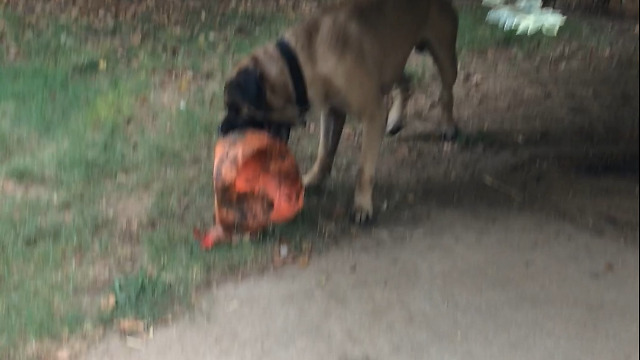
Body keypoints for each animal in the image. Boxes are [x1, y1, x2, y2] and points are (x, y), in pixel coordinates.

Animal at [220, 0, 460, 224]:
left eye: (235, 107)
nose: (221, 129)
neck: (306, 60)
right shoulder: (332, 111)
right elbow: (325, 151)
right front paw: (314, 179)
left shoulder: (372, 112)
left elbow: (363, 169)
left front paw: (362, 206)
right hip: (390, 65)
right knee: (407, 82)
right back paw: (395, 119)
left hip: (443, 54)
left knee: (447, 91)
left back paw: (448, 126)